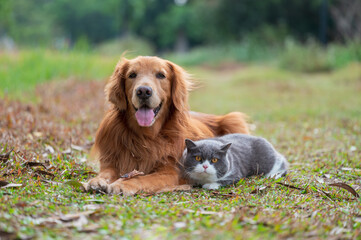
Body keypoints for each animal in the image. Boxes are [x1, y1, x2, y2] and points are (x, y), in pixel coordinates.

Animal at [85, 57, 248, 196]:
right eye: (132, 75)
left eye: (161, 75)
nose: (143, 91)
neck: (145, 136)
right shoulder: (112, 160)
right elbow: (106, 173)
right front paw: (97, 180)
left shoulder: (171, 172)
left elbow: (142, 178)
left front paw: (123, 184)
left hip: (233, 119)